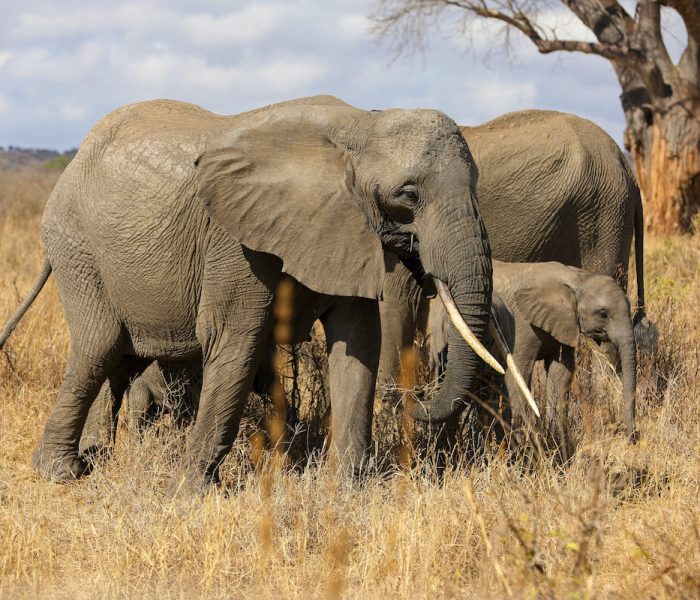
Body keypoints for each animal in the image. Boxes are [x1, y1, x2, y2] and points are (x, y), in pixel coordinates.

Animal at [430, 260, 636, 442]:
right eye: (603, 314)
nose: (632, 437)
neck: (576, 277)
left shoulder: (564, 324)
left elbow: (561, 374)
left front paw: (557, 438)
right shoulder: (523, 324)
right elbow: (519, 372)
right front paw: (522, 438)